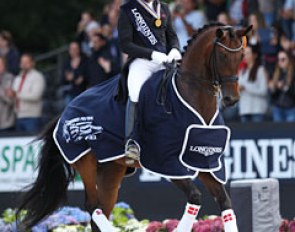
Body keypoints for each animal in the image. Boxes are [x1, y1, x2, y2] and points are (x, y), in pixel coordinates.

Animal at [16, 24, 252, 232]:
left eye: (241, 57)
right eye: (223, 56)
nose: (231, 99)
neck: (192, 98)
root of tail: (66, 110)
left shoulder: (204, 159)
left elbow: (224, 200)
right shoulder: (166, 162)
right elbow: (195, 198)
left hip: (111, 170)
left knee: (100, 209)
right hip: (86, 162)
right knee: (93, 207)